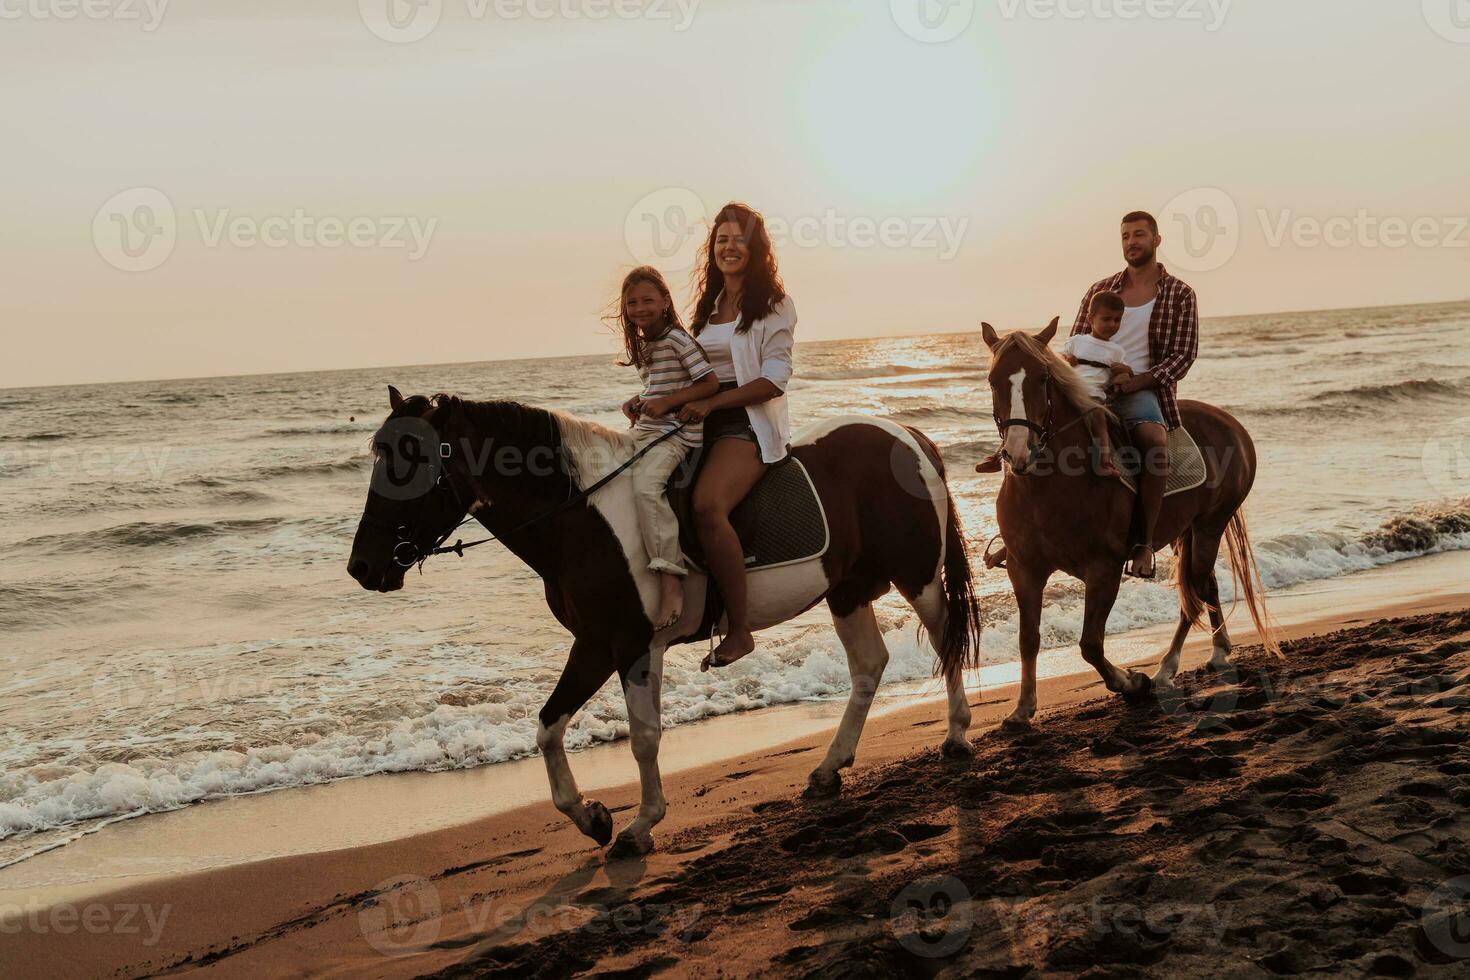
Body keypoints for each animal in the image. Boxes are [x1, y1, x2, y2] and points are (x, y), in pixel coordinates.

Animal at [349, 387, 981, 852]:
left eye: (412, 459)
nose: (363, 567)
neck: (583, 518)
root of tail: (908, 437)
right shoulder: (618, 646)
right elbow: (554, 726)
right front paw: (594, 818)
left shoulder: (615, 644)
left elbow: (639, 737)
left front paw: (636, 825)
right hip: (846, 590)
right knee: (869, 667)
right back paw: (828, 770)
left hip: (917, 578)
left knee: (945, 642)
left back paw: (955, 736)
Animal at [981, 321, 1281, 728]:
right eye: (993, 379)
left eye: (1042, 378)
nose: (1018, 453)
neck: (1049, 487)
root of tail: (1229, 422)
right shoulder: (1024, 569)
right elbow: (1029, 639)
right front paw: (1023, 708)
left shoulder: (1103, 569)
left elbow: (1090, 644)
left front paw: (1132, 683)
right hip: (1187, 531)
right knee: (1205, 585)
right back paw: (1216, 652)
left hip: (1210, 525)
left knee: (1194, 591)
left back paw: (1167, 668)